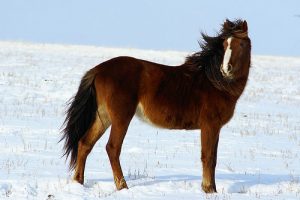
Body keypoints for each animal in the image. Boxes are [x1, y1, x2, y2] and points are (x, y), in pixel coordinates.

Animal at [61, 19, 251, 193]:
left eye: (241, 44)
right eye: (225, 45)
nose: (226, 69)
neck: (214, 83)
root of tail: (98, 70)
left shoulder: (216, 127)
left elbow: (214, 158)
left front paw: (213, 189)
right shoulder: (209, 126)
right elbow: (208, 156)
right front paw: (208, 189)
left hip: (103, 117)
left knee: (85, 143)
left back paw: (78, 182)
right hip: (121, 118)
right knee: (112, 148)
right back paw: (123, 187)